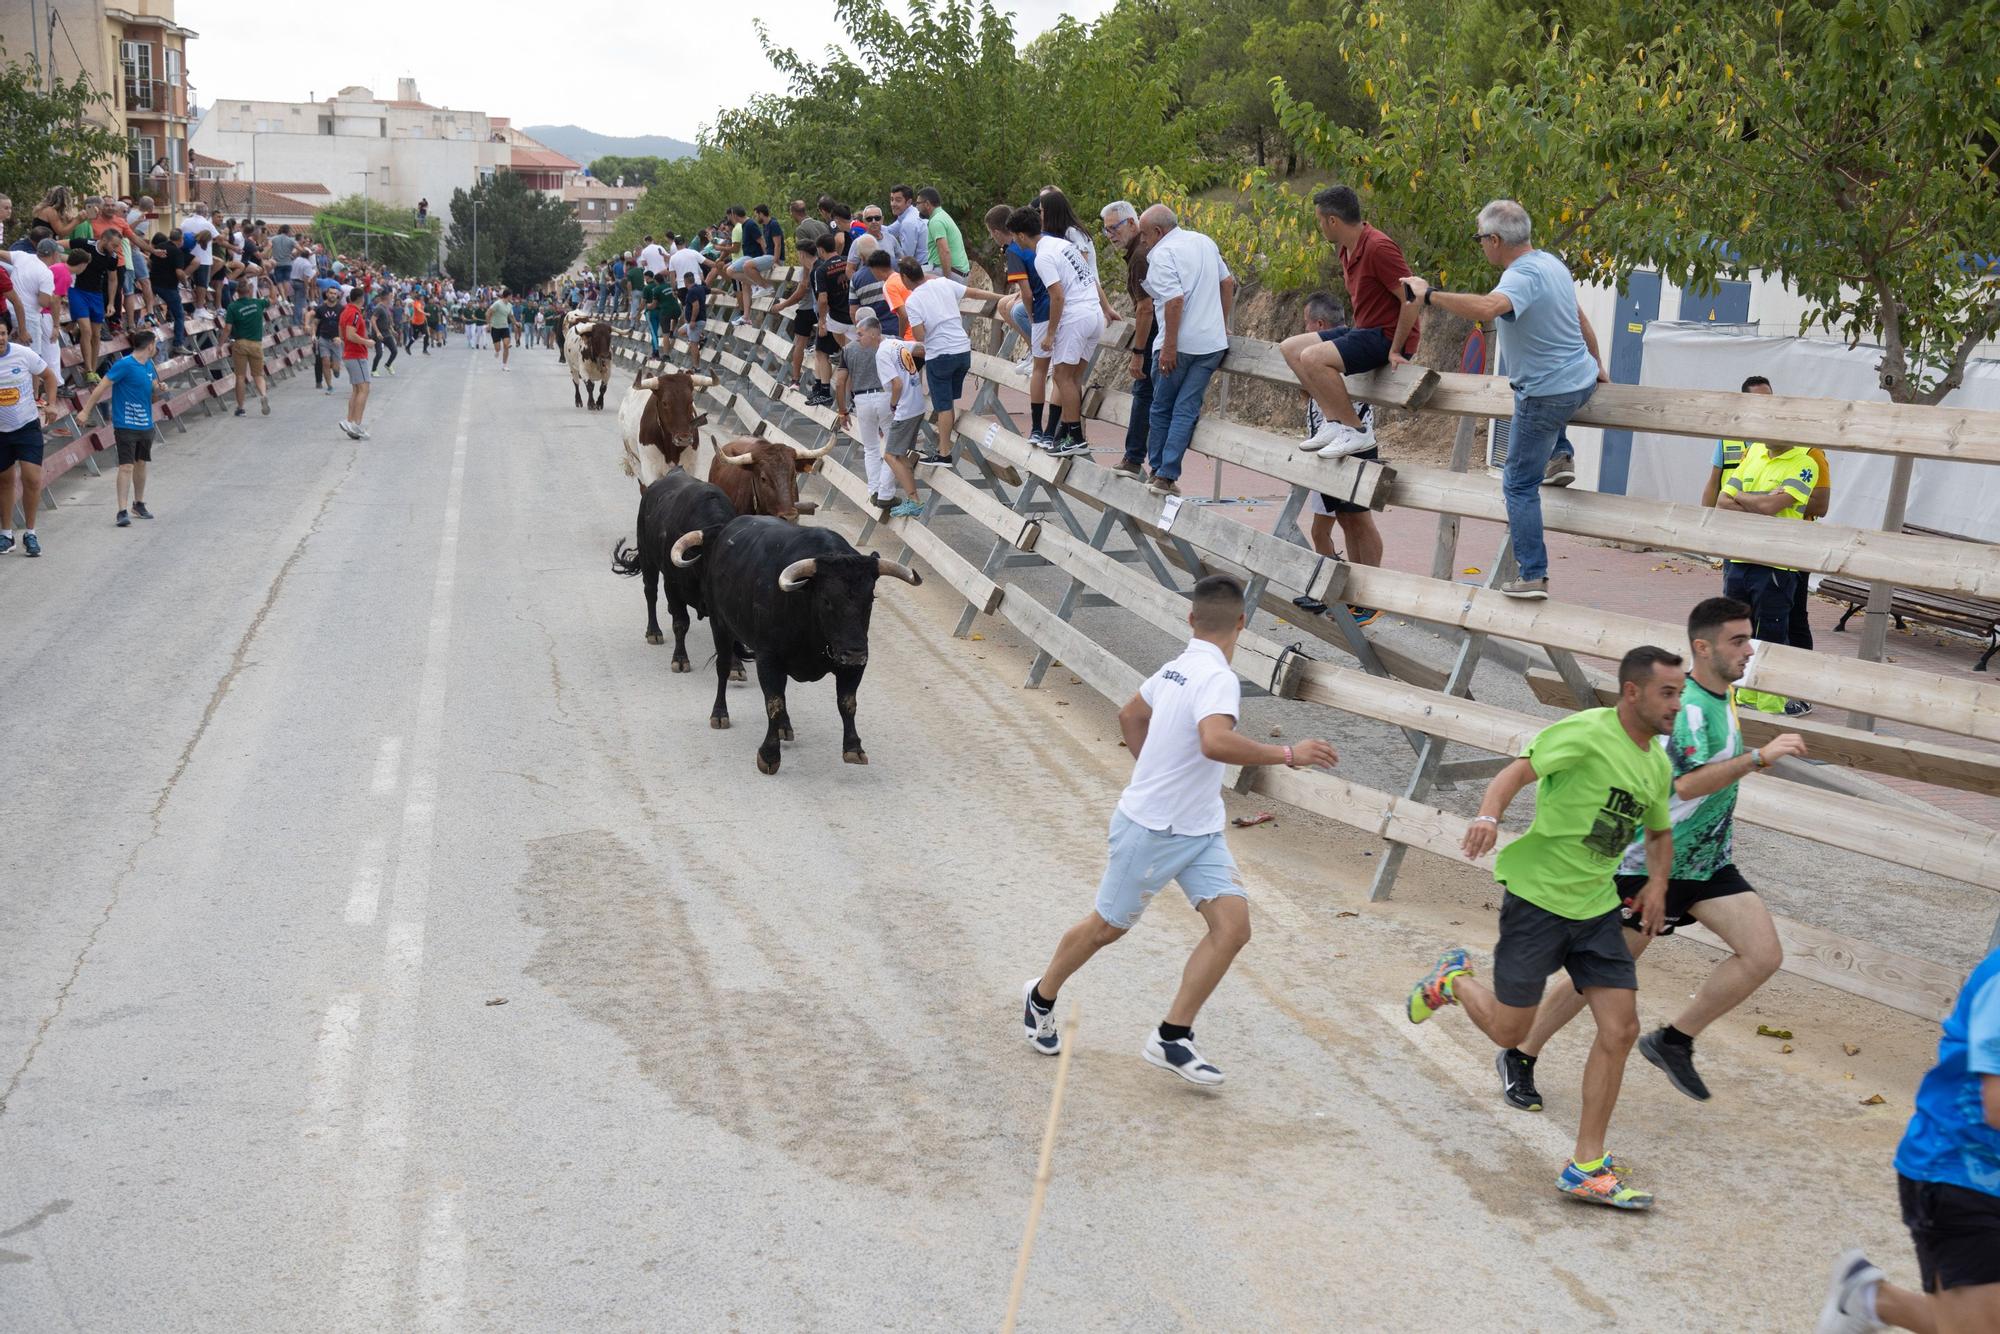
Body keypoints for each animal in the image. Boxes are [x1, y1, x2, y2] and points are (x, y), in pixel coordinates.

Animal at [672, 516, 920, 776]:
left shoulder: (854, 663)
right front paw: (769, 755)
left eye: (870, 599)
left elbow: (847, 703)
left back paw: (784, 726)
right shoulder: (768, 659)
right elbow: (774, 702)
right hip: (720, 626)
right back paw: (720, 714)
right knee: (722, 669)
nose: (855, 653)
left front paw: (853, 747)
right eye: (827, 600)